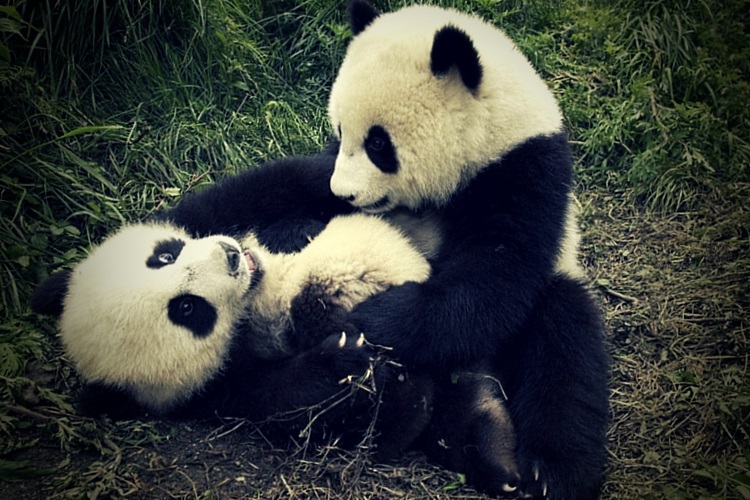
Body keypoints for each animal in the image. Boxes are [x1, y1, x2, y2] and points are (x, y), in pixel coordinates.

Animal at [31, 151, 521, 494]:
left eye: (164, 255)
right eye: (187, 310)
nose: (231, 256)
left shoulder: (207, 212)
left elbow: (275, 184)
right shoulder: (215, 393)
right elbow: (289, 403)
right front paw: (343, 361)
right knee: (448, 407)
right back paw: (492, 453)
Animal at [325, 2, 610, 498]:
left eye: (378, 143)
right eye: (340, 132)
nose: (343, 194)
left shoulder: (524, 171)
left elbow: (496, 275)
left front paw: (377, 316)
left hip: (558, 288)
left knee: (565, 350)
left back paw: (547, 470)